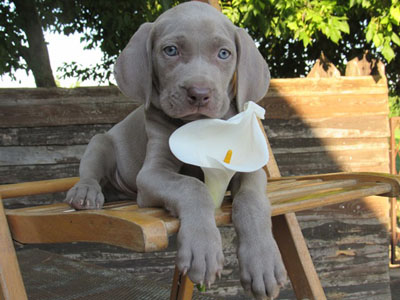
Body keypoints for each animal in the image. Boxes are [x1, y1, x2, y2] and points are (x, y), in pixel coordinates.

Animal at [68, 1, 288, 298]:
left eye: (224, 53)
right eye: (170, 50)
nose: (199, 93)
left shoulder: (249, 168)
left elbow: (252, 200)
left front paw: (263, 262)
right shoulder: (151, 173)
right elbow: (191, 187)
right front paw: (202, 250)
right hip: (100, 142)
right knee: (91, 171)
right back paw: (85, 193)